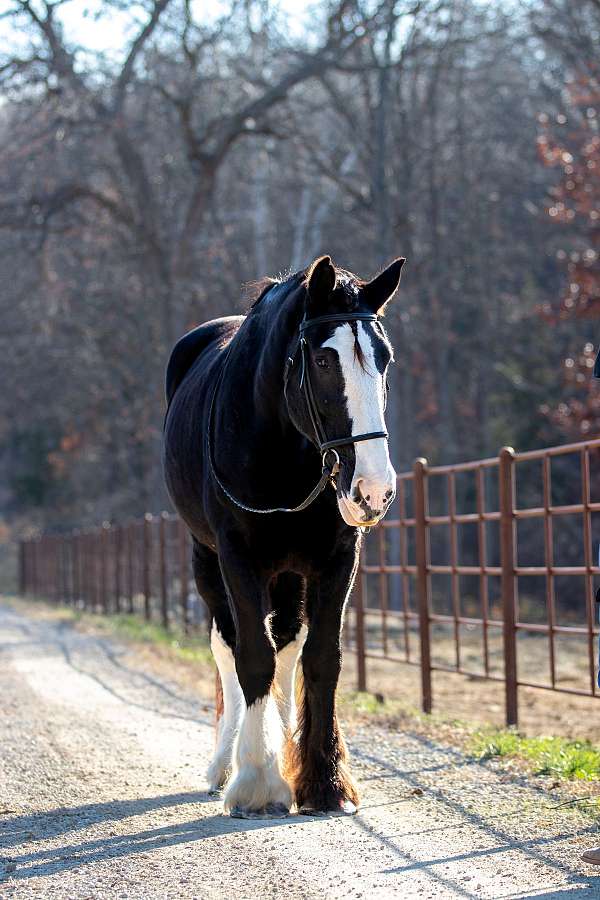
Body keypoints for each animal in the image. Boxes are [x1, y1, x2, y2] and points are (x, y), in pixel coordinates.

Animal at [163, 253, 404, 816]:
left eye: (384, 358)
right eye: (322, 361)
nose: (374, 490)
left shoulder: (338, 558)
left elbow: (321, 659)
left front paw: (322, 780)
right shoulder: (238, 559)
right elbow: (252, 656)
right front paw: (257, 781)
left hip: (291, 572)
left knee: (289, 646)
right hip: (206, 561)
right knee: (228, 646)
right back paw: (226, 762)